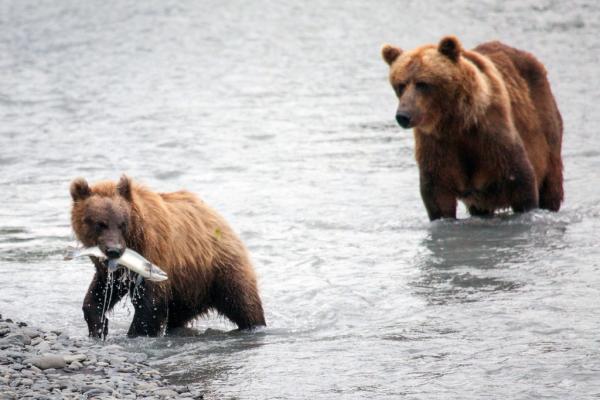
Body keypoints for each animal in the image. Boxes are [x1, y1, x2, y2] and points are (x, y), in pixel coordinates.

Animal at [69, 176, 264, 338]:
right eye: (100, 224)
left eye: (122, 223)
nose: (114, 250)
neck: (135, 240)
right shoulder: (115, 271)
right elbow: (99, 292)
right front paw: (99, 326)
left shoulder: (155, 252)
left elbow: (151, 303)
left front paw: (135, 334)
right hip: (188, 287)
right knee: (178, 315)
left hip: (219, 268)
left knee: (243, 302)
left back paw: (255, 325)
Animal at [382, 35, 564, 220]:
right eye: (400, 85)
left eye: (423, 83)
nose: (403, 115)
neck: (456, 122)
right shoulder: (436, 144)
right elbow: (437, 194)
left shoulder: (491, 135)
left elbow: (520, 180)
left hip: (545, 124)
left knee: (551, 182)